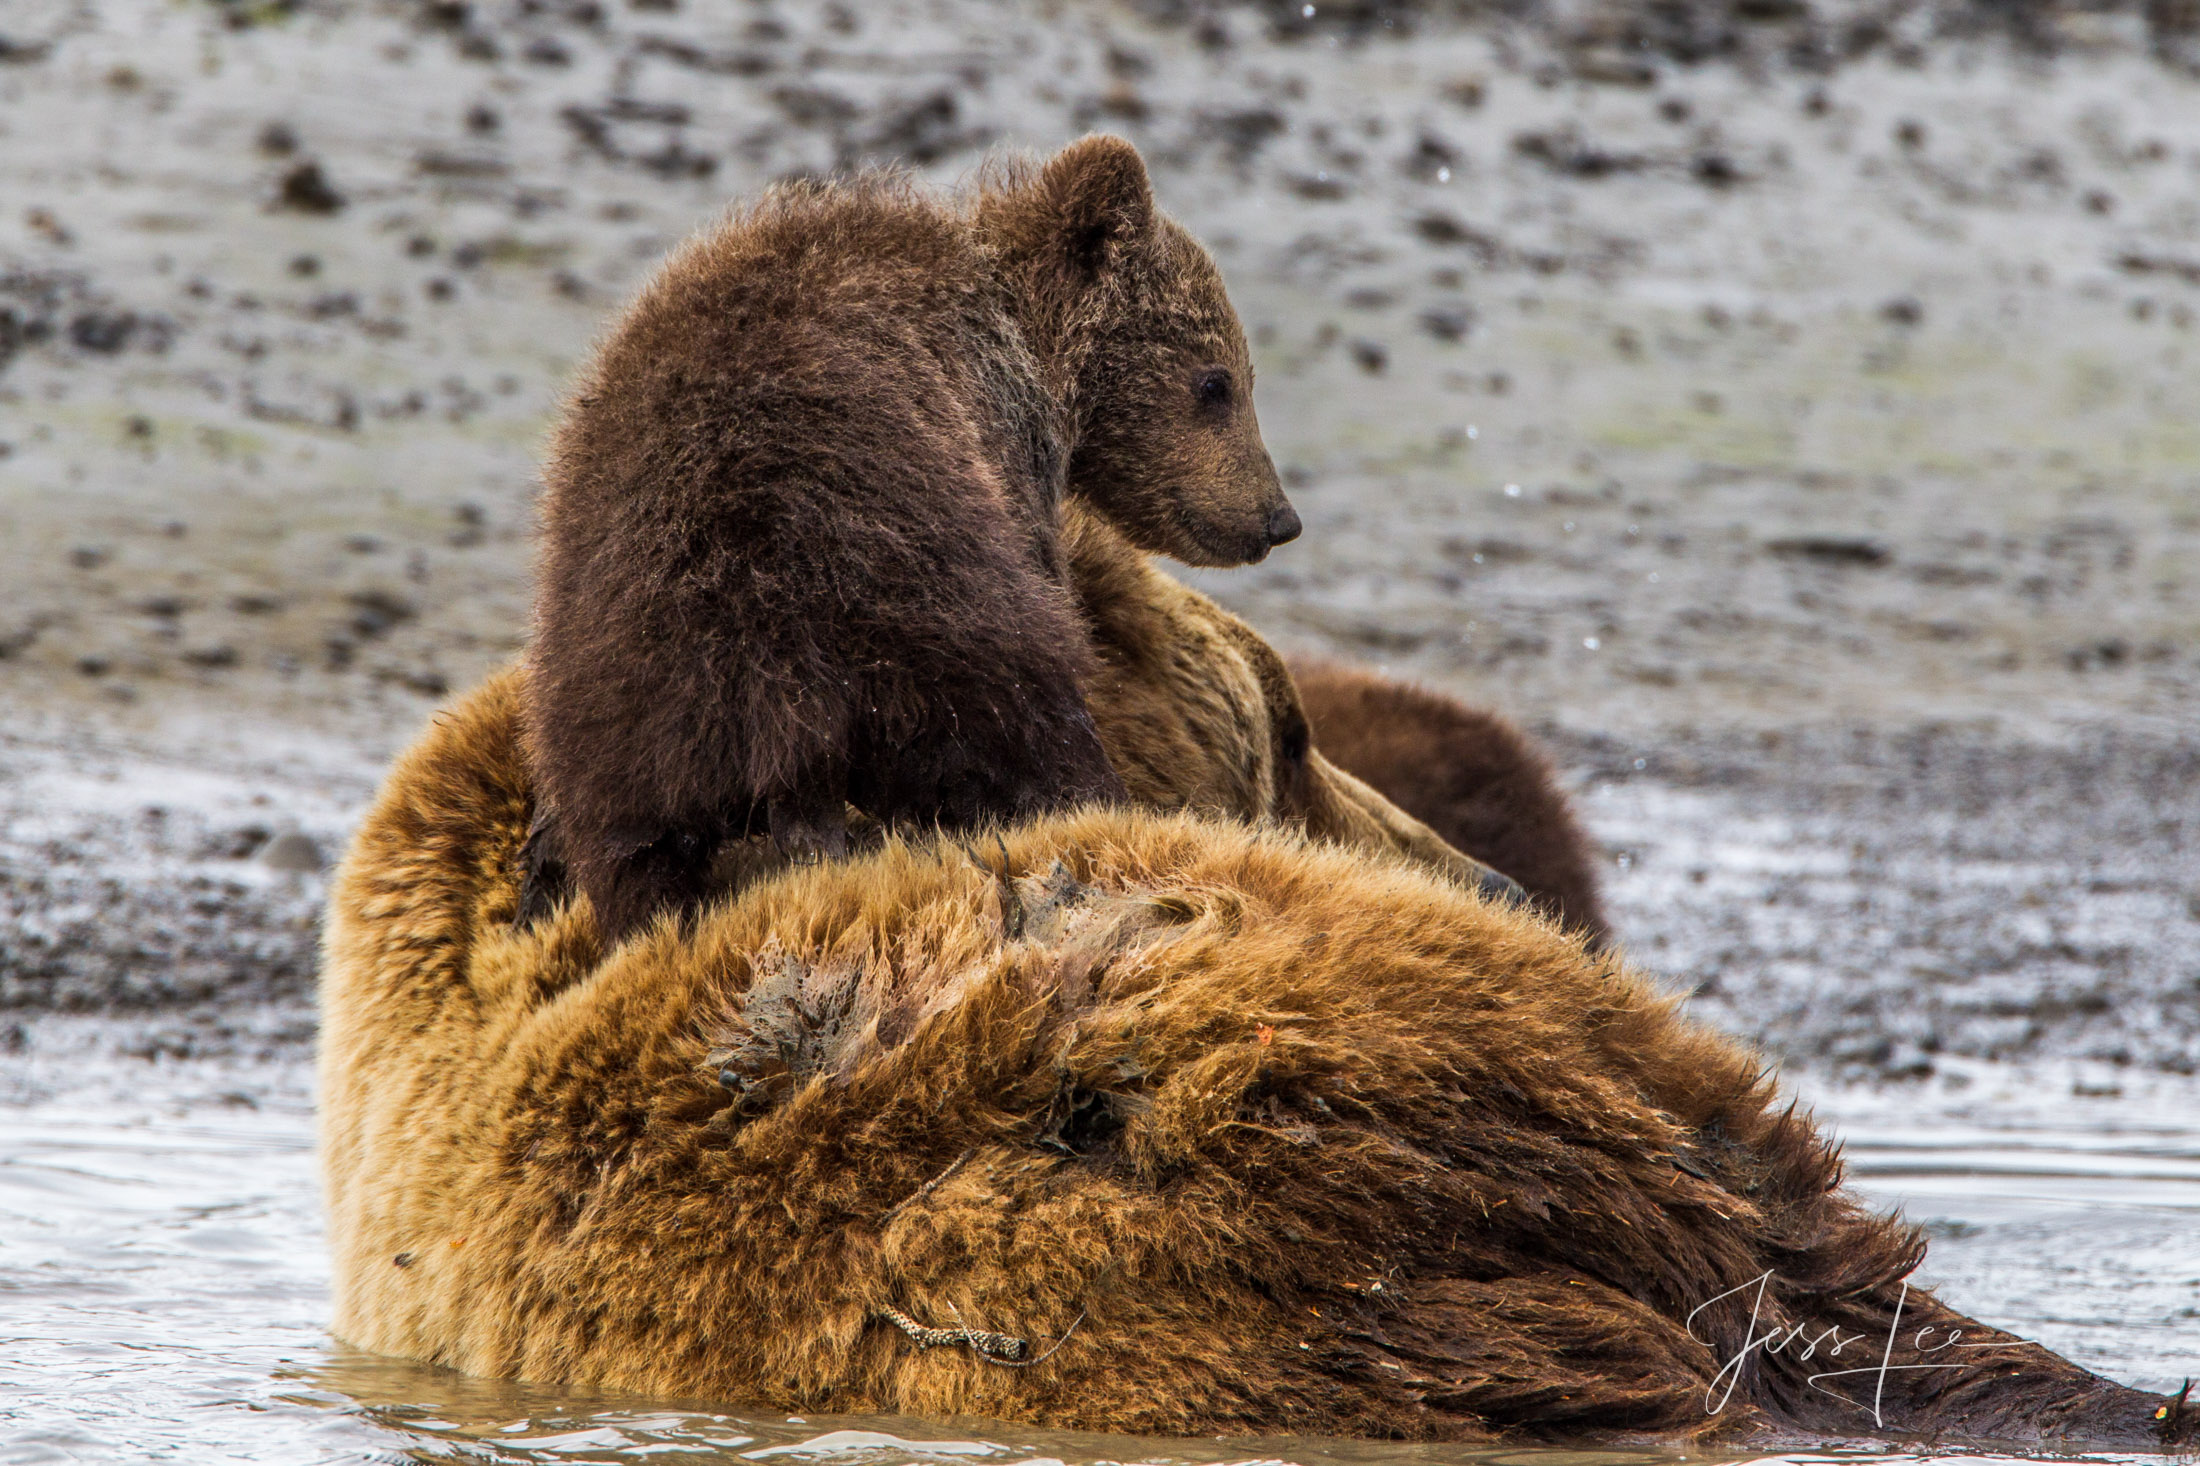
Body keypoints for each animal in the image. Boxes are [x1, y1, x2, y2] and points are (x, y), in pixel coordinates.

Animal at [525, 137, 1293, 937]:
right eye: (1217, 382)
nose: (1278, 518)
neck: (1025, 337)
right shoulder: (997, 446)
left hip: (620, 689)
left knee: (630, 854)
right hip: (898, 597)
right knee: (1021, 726)